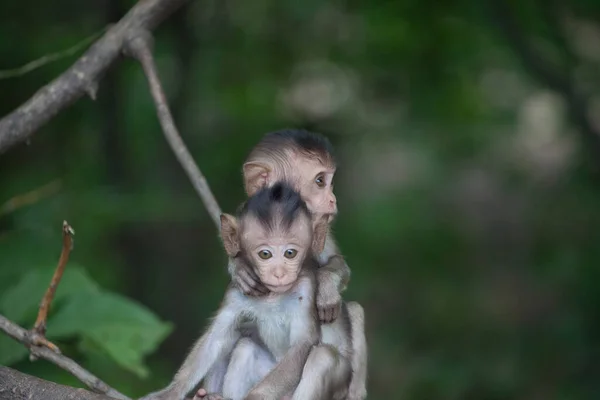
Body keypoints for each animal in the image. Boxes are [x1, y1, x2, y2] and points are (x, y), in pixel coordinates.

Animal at [139, 182, 356, 400]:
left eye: (290, 253)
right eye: (265, 254)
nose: (279, 273)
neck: (272, 295)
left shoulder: (306, 289)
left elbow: (302, 345)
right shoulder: (236, 292)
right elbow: (215, 339)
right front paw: (169, 392)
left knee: (322, 357)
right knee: (245, 347)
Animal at [203, 129, 366, 400]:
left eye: (329, 182)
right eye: (320, 181)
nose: (332, 200)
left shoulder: (315, 227)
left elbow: (338, 264)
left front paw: (326, 289)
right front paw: (239, 268)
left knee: (350, 315)